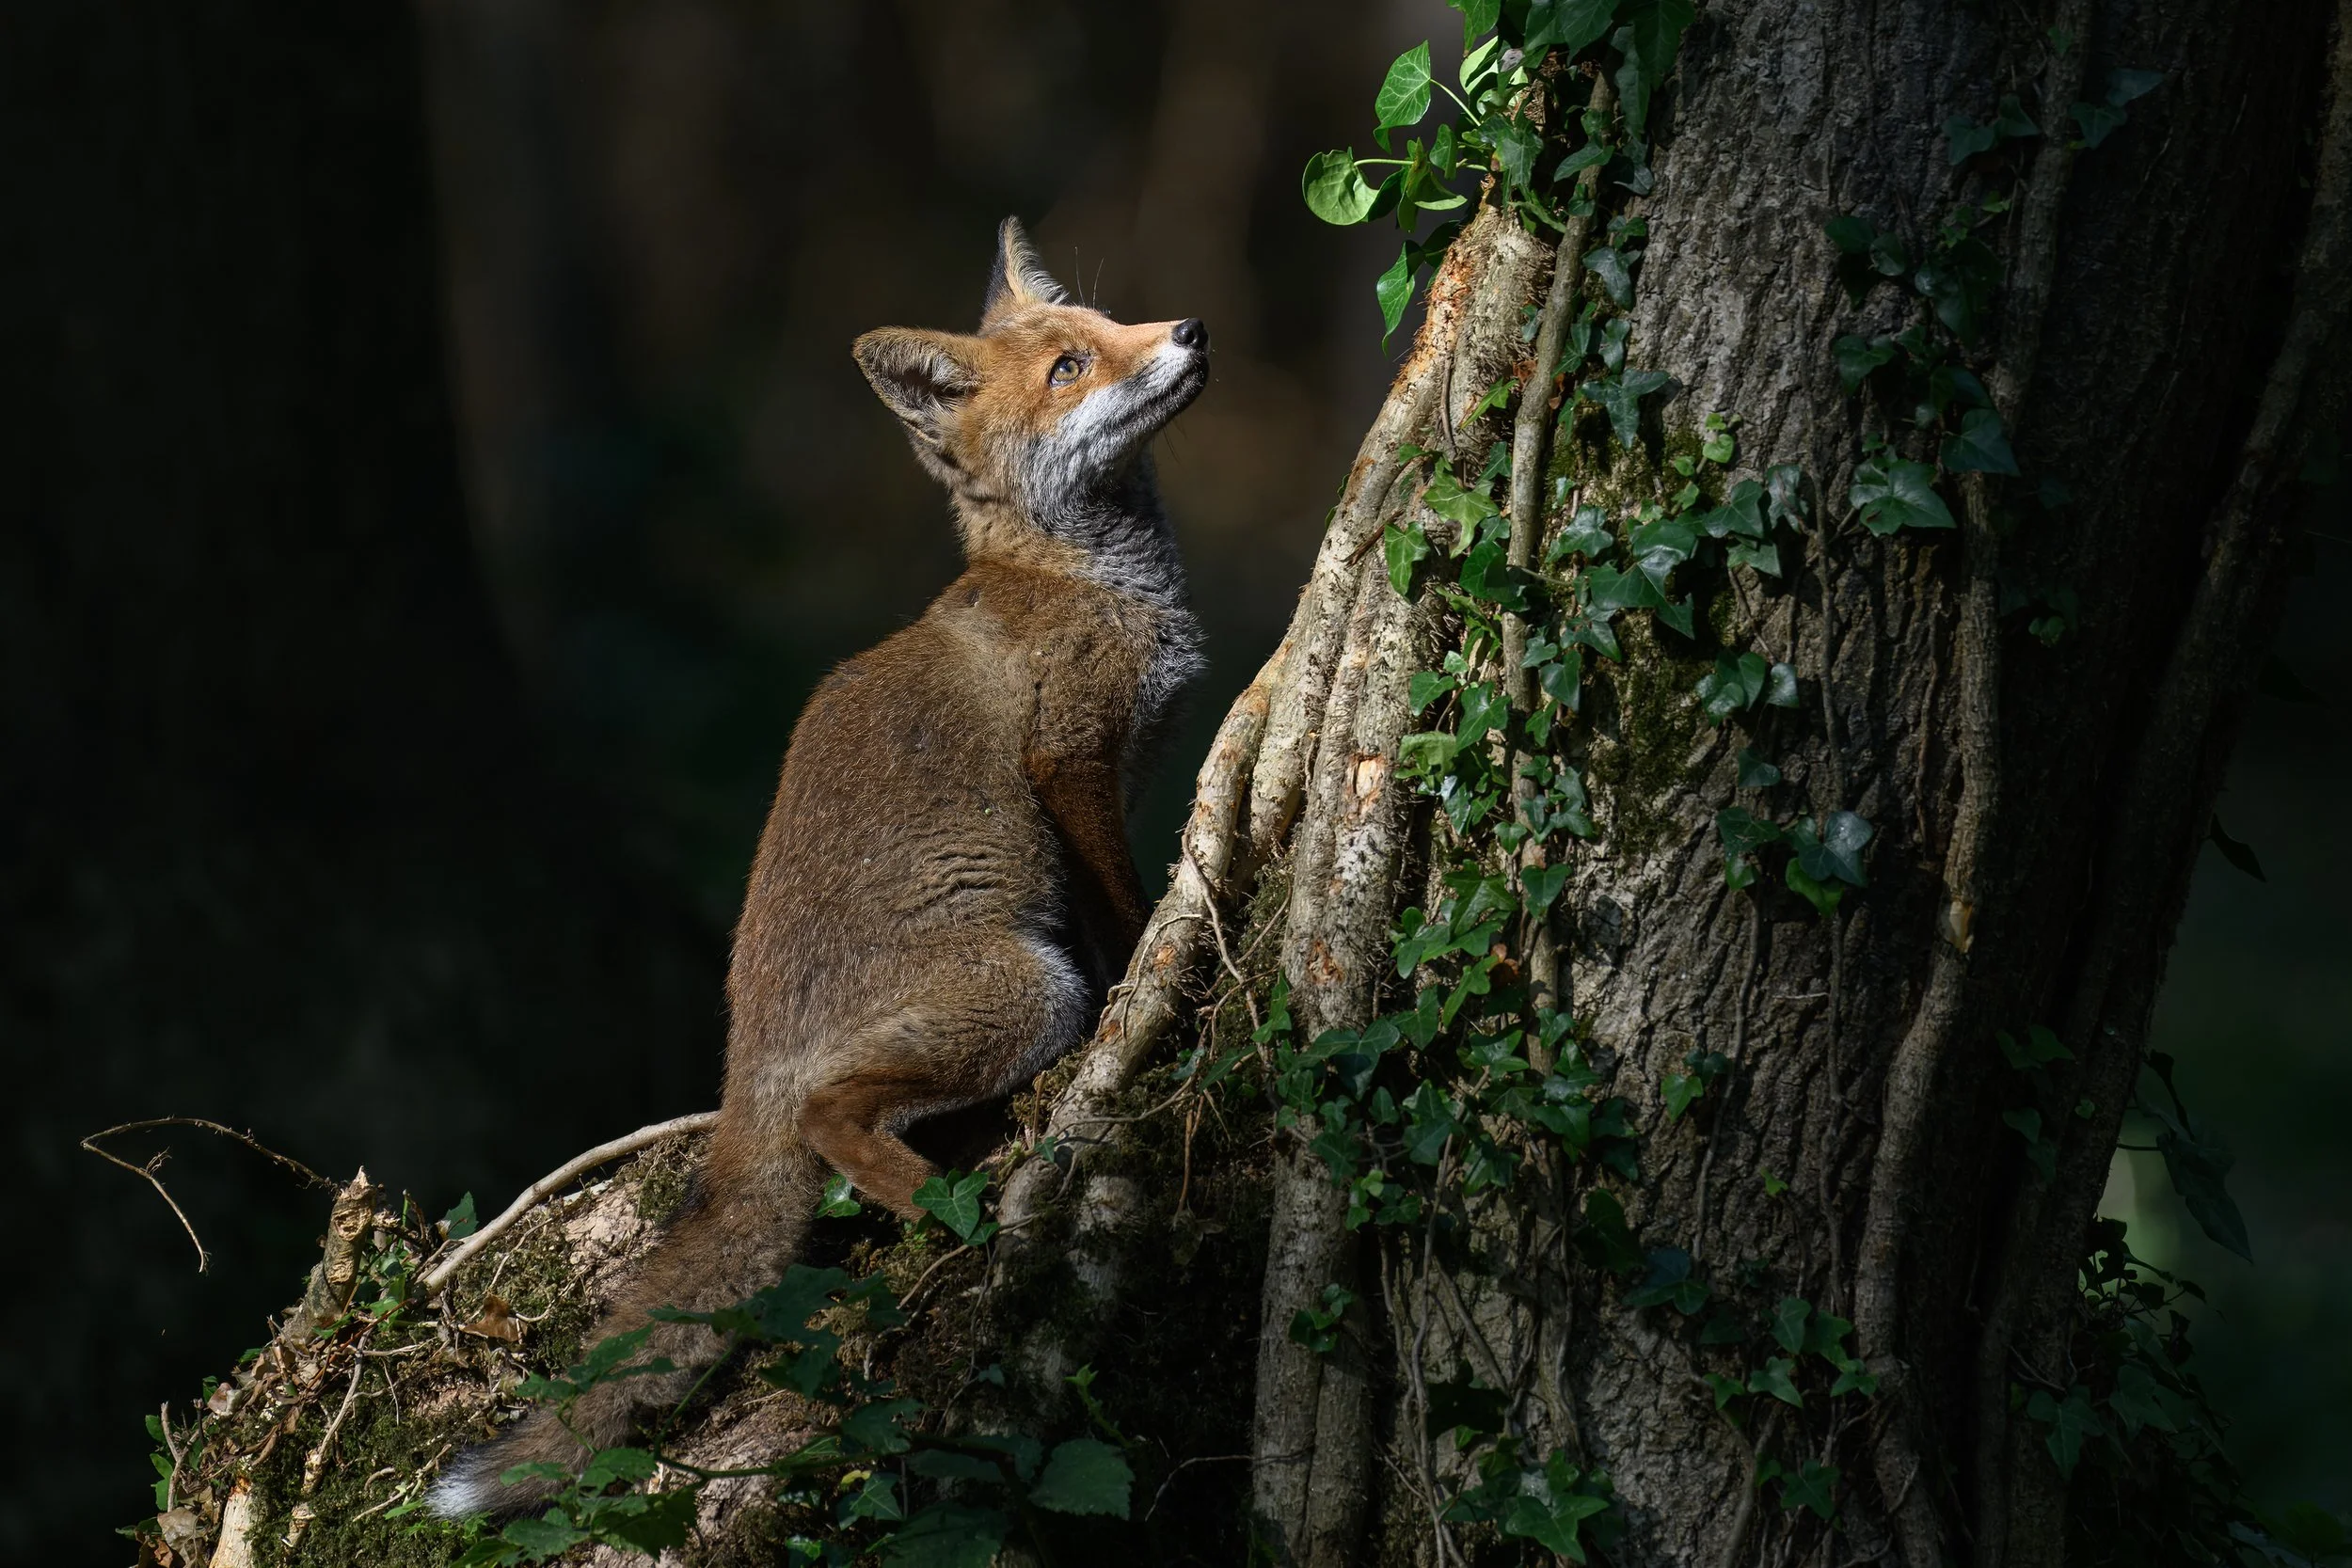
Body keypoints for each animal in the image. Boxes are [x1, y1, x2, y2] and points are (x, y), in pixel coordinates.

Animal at [428, 218, 1208, 1517]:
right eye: (1067, 368)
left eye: (1112, 324)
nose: (1191, 329)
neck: (1081, 579)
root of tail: (743, 1063)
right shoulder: (1072, 759)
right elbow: (1122, 910)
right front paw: (1161, 961)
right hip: (1025, 992)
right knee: (834, 1119)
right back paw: (948, 1213)